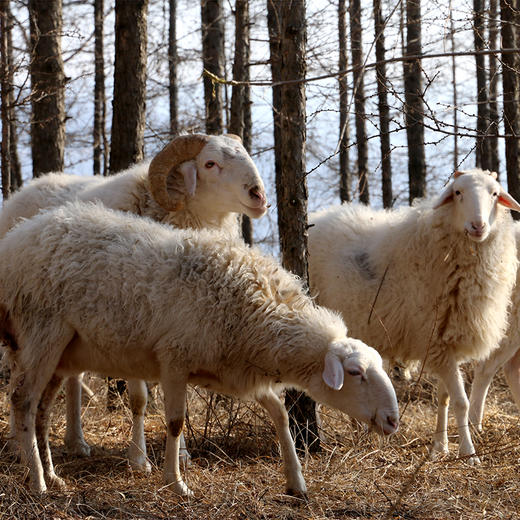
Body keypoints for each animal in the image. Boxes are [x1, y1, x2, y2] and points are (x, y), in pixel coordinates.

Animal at [0, 132, 268, 470]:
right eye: (210, 163)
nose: (259, 195)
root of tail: (30, 186)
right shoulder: (134, 320)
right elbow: (139, 398)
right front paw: (139, 458)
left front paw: (181, 455)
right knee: (16, 373)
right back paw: (15, 444)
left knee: (73, 376)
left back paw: (76, 441)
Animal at [0, 200, 402, 496]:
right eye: (355, 373)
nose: (392, 421)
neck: (253, 310)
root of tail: (16, 240)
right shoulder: (174, 359)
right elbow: (175, 423)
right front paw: (175, 482)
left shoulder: (233, 371)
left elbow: (279, 413)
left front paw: (296, 482)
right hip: (42, 331)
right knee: (22, 400)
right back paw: (38, 483)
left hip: (62, 352)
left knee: (41, 411)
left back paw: (51, 475)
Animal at [306, 170, 520, 464]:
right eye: (458, 193)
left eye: (495, 194)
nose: (478, 226)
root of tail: (319, 216)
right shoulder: (435, 340)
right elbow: (461, 402)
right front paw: (468, 453)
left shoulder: (445, 343)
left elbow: (443, 398)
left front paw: (440, 448)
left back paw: (358, 430)